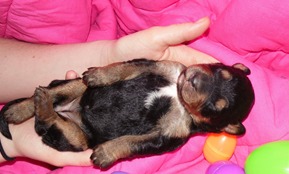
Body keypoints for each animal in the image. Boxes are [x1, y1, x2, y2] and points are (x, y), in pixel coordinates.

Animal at [0, 58, 253, 169]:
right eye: (219, 70)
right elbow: (124, 67)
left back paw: (42, 107)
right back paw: (20, 108)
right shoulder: (159, 65)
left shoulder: (166, 135)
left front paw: (105, 153)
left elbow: (132, 143)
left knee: (52, 122)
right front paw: (99, 75)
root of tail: (69, 110)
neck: (177, 96)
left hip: (76, 138)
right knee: (57, 90)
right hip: (76, 86)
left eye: (214, 107)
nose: (194, 78)